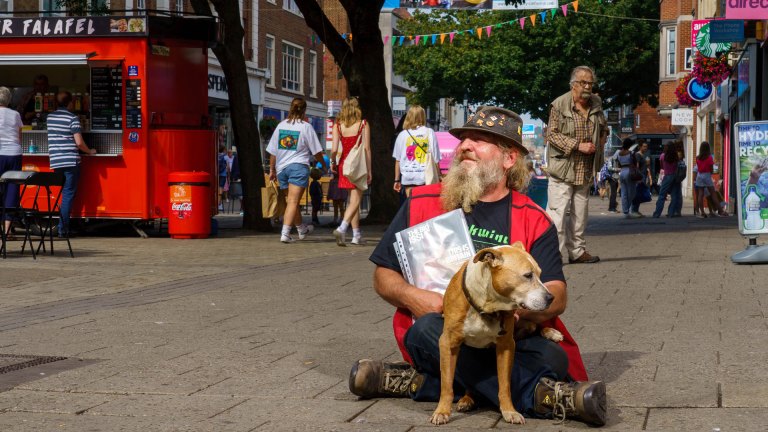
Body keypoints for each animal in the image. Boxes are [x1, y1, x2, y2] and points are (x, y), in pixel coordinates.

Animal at [428, 243, 560, 426]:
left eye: (540, 274)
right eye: (527, 275)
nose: (551, 298)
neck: (487, 306)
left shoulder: (506, 345)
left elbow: (504, 384)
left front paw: (509, 411)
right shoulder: (448, 343)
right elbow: (447, 383)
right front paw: (441, 411)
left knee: (535, 325)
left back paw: (551, 333)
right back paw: (466, 400)